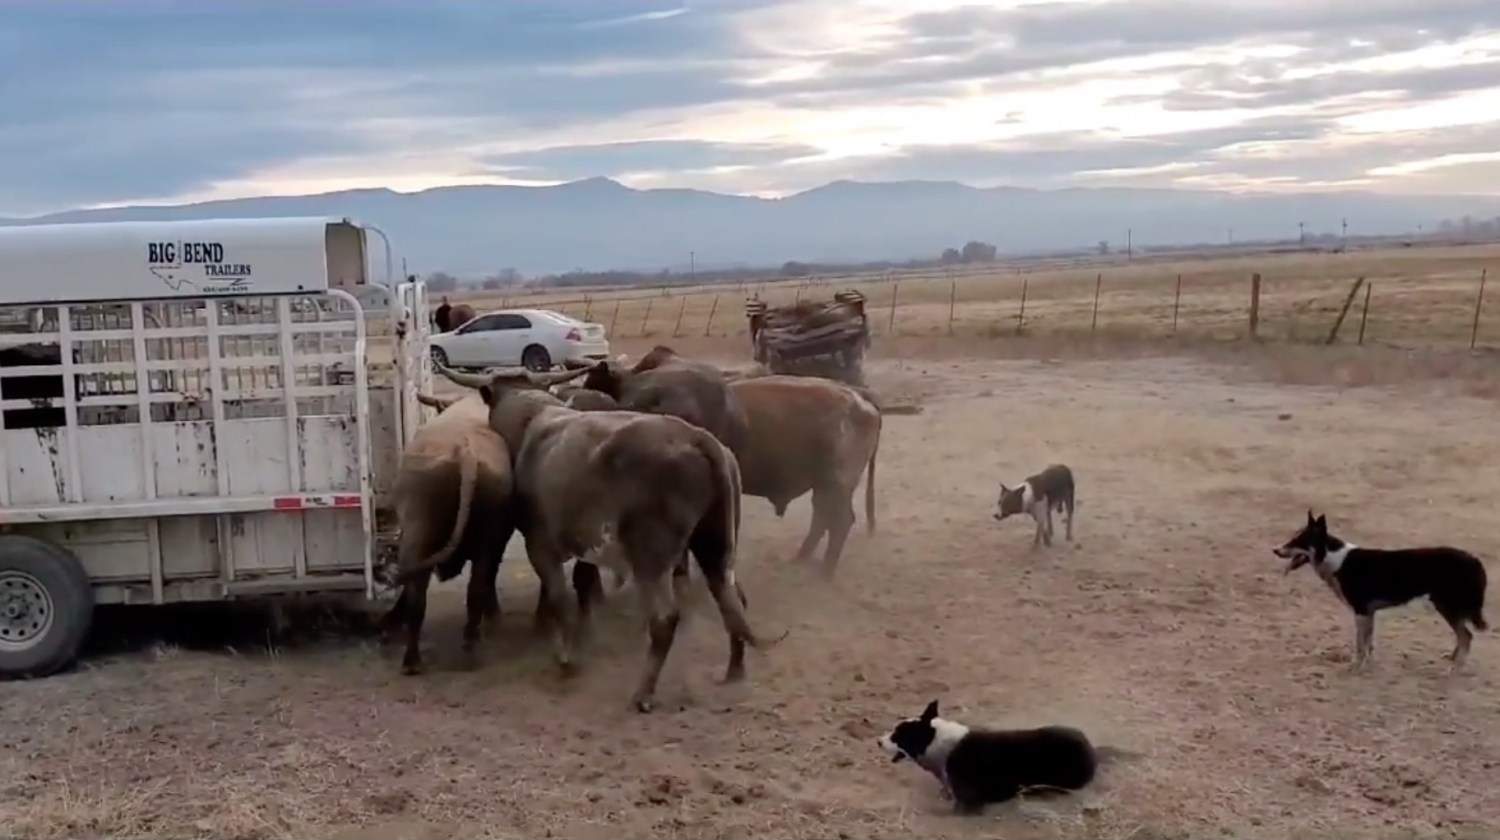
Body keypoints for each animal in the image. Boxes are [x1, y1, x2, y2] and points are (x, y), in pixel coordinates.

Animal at [435, 364, 786, 711]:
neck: (532, 418)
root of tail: (701, 440)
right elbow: (579, 585)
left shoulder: (540, 543)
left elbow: (560, 596)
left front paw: (569, 659)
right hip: (716, 545)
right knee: (732, 599)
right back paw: (734, 670)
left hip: (652, 556)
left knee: (665, 617)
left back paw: (643, 693)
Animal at [726, 375, 876, 576]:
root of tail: (858, 398)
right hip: (824, 486)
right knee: (822, 516)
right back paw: (802, 557)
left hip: (836, 484)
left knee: (840, 520)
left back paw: (826, 570)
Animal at [1278, 510, 1488, 672]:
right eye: (1292, 538)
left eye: (1299, 541)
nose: (1275, 550)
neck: (1335, 559)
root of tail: (1474, 559)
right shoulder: (1369, 613)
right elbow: (1369, 643)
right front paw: (1368, 665)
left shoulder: (1361, 612)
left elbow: (1360, 645)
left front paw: (1355, 666)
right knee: (1463, 636)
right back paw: (1452, 659)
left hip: (1447, 605)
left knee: (1466, 636)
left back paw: (1455, 668)